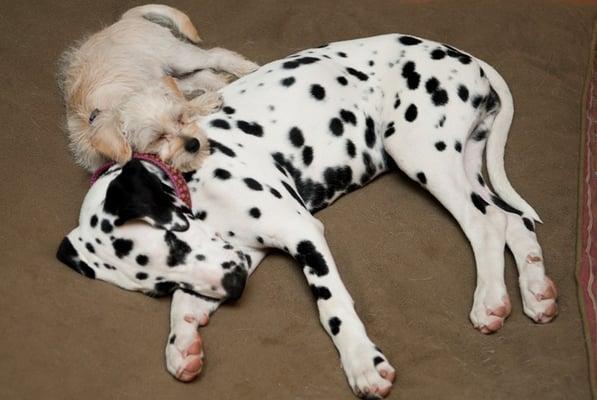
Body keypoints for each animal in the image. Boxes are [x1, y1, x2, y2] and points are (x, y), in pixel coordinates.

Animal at [57, 4, 258, 172]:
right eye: (158, 138)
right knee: (202, 75)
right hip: (173, 73)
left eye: (178, 119)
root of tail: (125, 20)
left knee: (216, 55)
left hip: (179, 58)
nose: (194, 144)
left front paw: (205, 103)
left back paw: (247, 69)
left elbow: (185, 104)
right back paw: (223, 84)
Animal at [58, 33, 556, 396]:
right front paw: (183, 343)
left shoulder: (301, 231)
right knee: (513, 220)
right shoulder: (240, 253)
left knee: (485, 223)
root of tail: (462, 54)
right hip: (462, 162)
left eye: (176, 239)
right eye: (157, 285)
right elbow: (187, 300)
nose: (234, 289)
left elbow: (331, 305)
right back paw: (536, 292)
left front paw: (362, 362)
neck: (194, 181)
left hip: (418, 150)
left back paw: (490, 299)